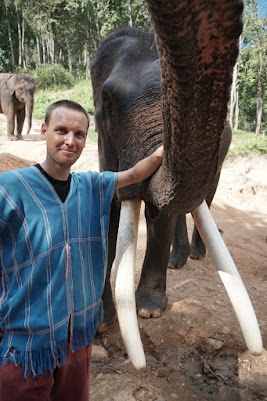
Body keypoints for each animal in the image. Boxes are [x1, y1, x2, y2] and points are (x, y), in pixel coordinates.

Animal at [91, 0, 244, 330]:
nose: (162, 153)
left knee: (204, 199)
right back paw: (178, 261)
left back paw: (194, 256)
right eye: (107, 106)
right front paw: (100, 322)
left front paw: (148, 311)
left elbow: (162, 214)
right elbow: (107, 213)